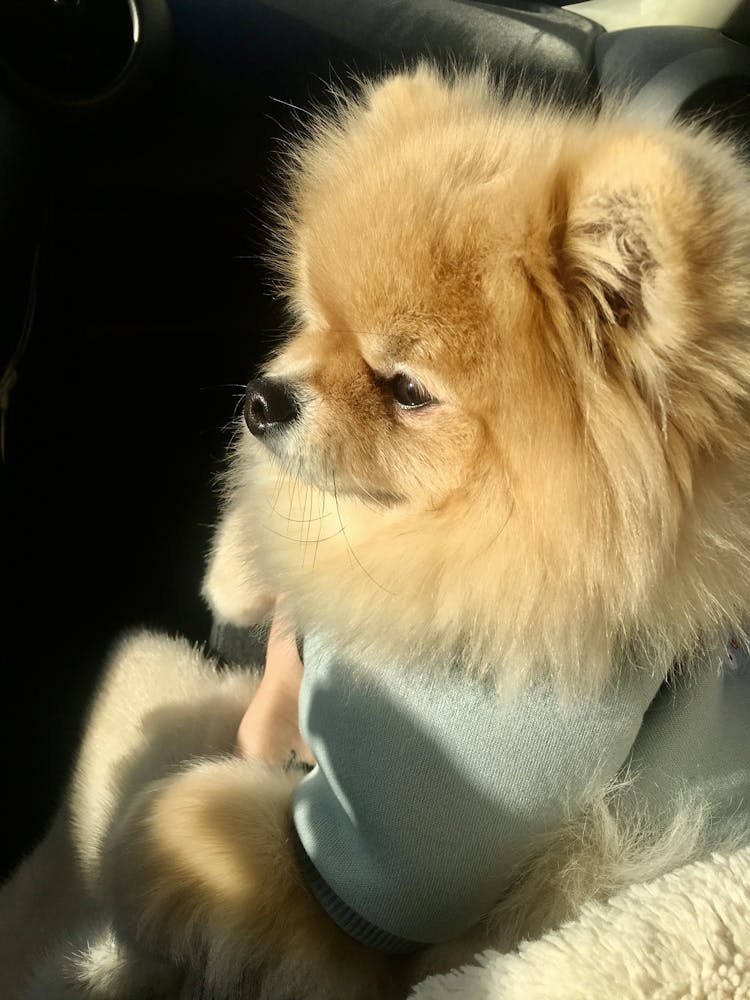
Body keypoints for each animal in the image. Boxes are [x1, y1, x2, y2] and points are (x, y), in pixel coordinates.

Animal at [4, 62, 750, 1000]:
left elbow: (187, 818)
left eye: (406, 389)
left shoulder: (400, 848)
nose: (262, 400)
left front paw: (129, 875)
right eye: (317, 320)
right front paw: (240, 567)